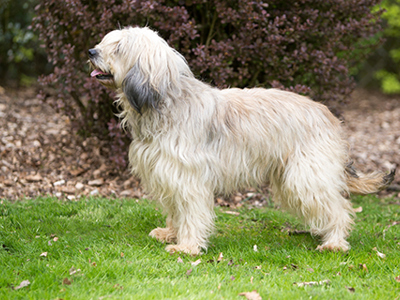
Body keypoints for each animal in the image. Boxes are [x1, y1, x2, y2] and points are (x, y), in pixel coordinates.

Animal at [88, 26, 396, 255]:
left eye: (119, 47)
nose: (91, 51)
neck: (165, 103)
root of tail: (328, 115)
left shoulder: (187, 178)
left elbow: (190, 212)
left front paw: (187, 247)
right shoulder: (166, 173)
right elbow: (176, 210)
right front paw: (171, 234)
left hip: (305, 176)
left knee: (339, 208)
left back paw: (334, 242)